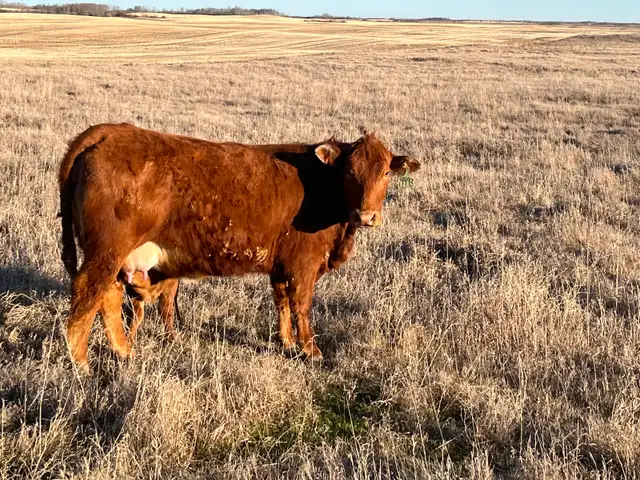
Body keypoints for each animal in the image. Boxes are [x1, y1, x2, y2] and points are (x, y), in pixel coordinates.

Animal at [58, 123, 420, 372]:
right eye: (349, 172)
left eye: (386, 172)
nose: (367, 216)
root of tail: (108, 132)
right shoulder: (303, 264)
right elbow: (302, 305)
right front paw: (311, 351)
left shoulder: (280, 264)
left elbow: (282, 303)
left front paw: (287, 342)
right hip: (107, 251)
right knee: (88, 293)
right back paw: (81, 363)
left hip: (114, 257)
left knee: (108, 295)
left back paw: (122, 350)